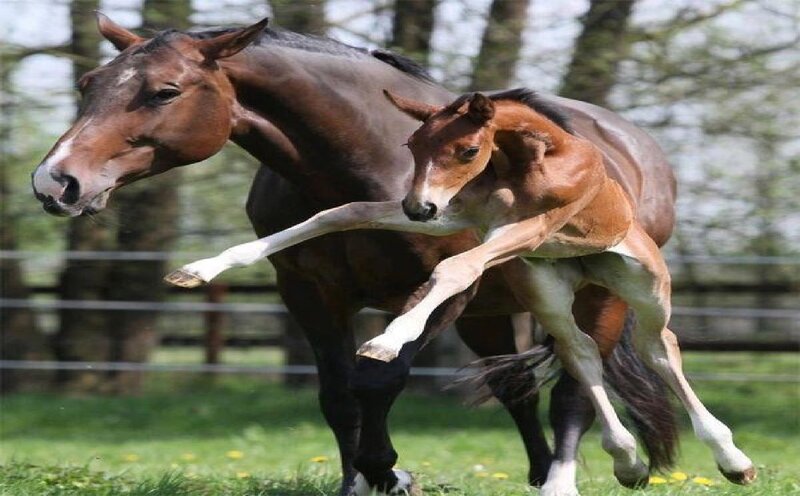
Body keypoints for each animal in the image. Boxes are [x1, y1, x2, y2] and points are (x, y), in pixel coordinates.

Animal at [31, 15, 679, 495]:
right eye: (89, 85)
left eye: (165, 91)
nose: (55, 182)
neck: (367, 155)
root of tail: (634, 147)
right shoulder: (308, 292)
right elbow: (339, 395)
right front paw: (359, 481)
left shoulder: (441, 294)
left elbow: (379, 380)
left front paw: (391, 473)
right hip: (495, 314)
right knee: (516, 390)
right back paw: (541, 474)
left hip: (598, 300)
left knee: (575, 388)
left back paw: (581, 475)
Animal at [166, 89, 757, 488]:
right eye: (411, 143)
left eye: (468, 149)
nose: (417, 206)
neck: (532, 161)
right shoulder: (460, 219)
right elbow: (340, 212)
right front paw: (199, 269)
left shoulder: (523, 230)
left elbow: (455, 271)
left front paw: (384, 341)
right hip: (546, 287)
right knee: (582, 353)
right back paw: (628, 460)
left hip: (638, 287)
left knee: (660, 350)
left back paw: (733, 461)